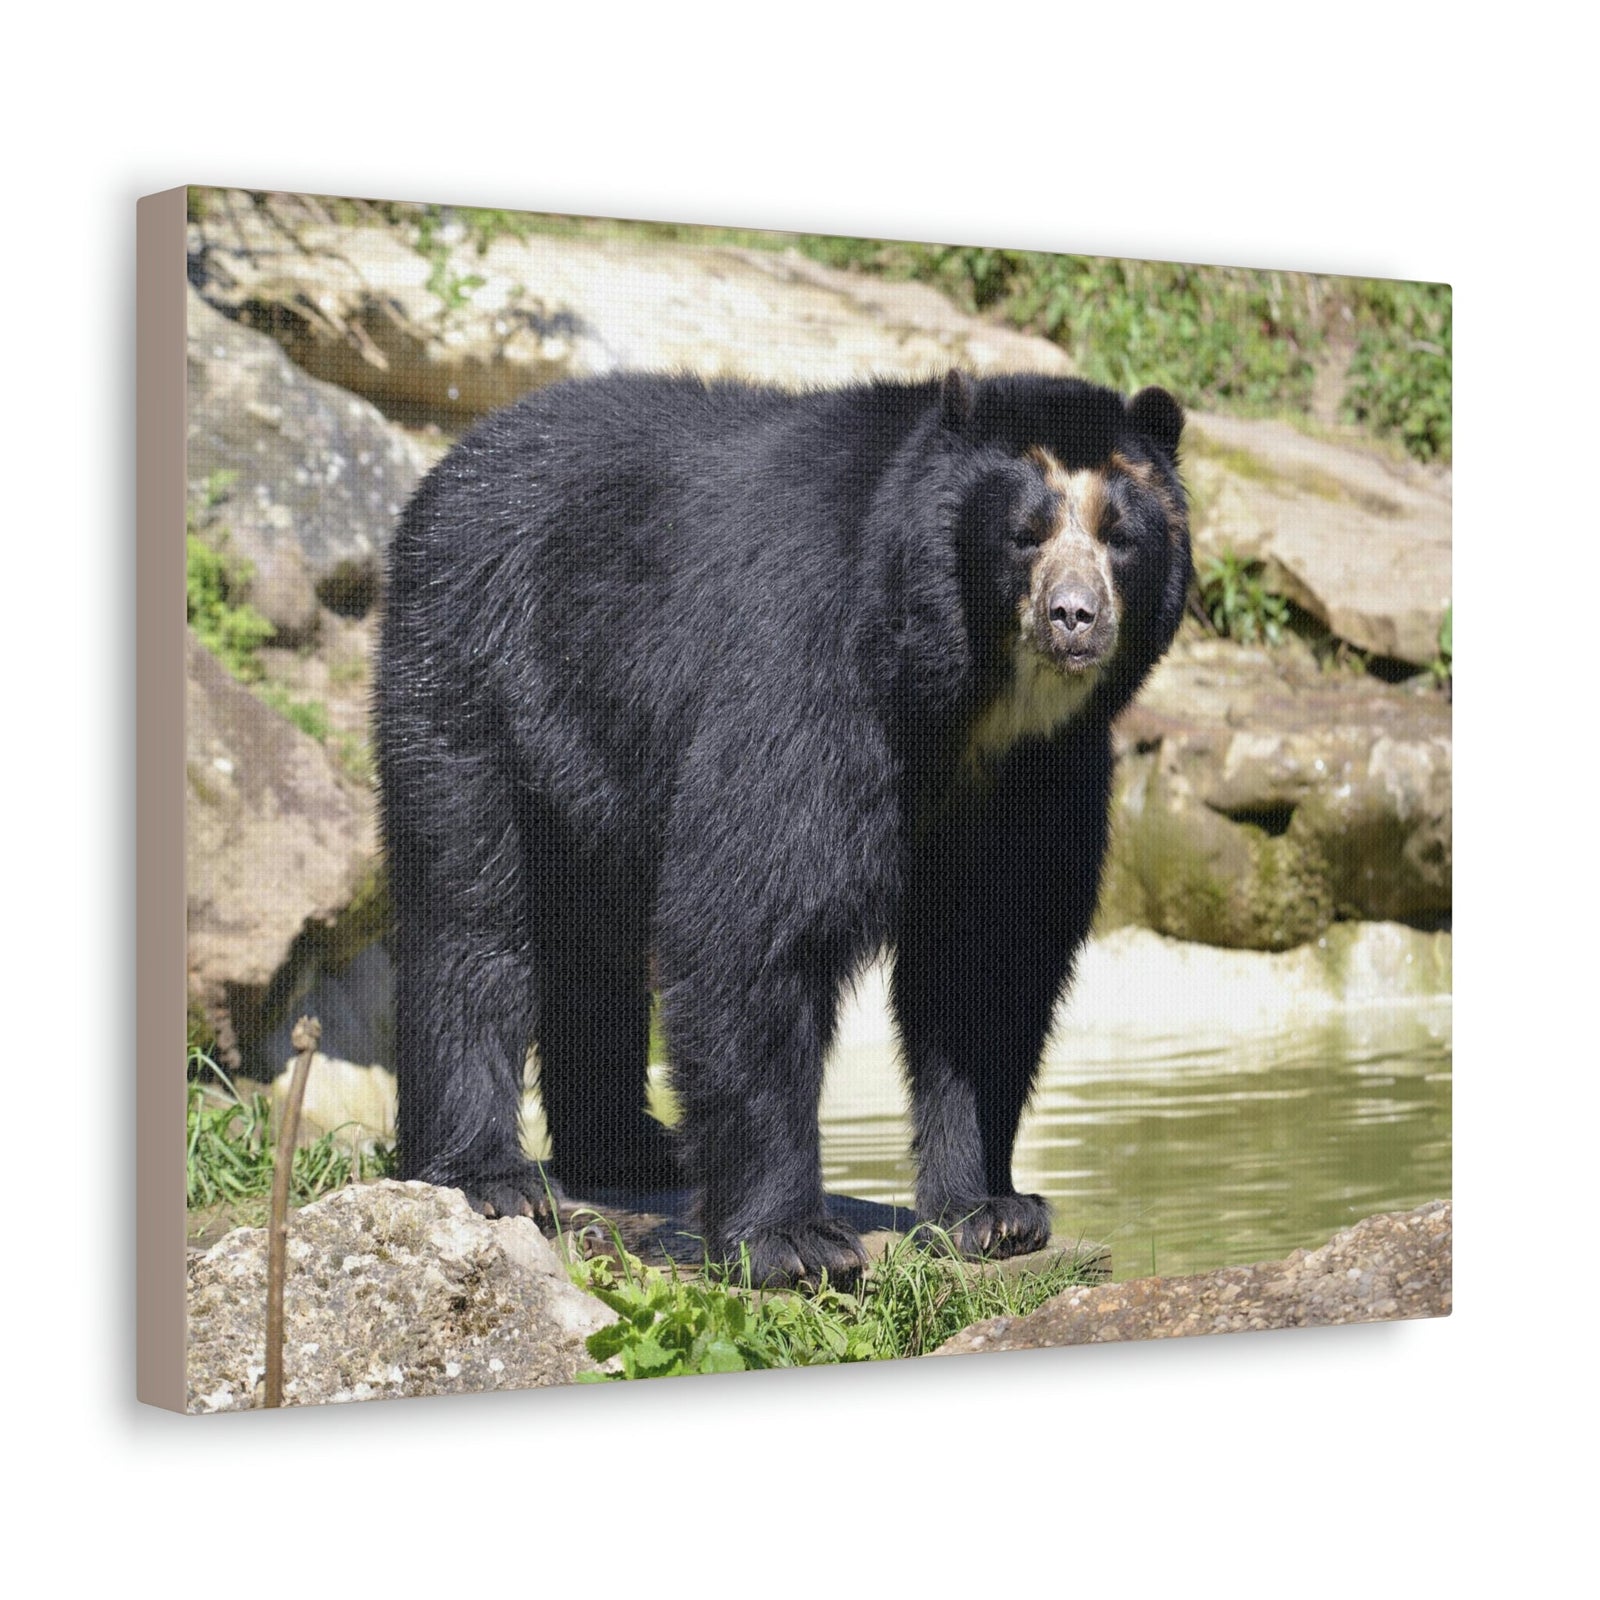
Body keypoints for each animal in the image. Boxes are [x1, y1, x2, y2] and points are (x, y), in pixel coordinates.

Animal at [374, 369, 1190, 1289]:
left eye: (1121, 538)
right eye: (1023, 535)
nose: (1073, 617)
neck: (972, 702)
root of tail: (455, 461)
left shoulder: (1045, 771)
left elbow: (992, 959)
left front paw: (994, 1213)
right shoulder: (808, 666)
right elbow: (754, 919)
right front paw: (794, 1242)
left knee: (592, 937)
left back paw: (631, 1151)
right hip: (477, 667)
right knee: (469, 911)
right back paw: (488, 1177)